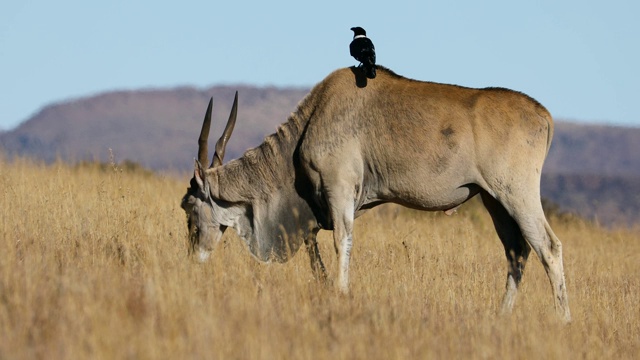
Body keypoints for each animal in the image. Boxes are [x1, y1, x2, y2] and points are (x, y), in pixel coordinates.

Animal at [182, 64, 572, 320]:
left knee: (548, 247)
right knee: (517, 253)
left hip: (517, 196)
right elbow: (314, 247)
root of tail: (544, 115)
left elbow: (341, 242)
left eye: (188, 207)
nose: (192, 259)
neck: (312, 121)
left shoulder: (339, 190)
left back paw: (562, 319)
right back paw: (502, 317)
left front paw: (340, 293)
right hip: (494, 202)